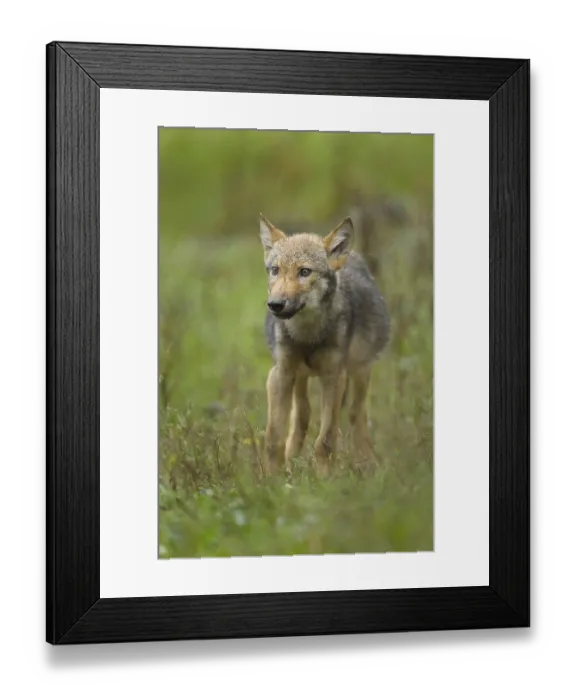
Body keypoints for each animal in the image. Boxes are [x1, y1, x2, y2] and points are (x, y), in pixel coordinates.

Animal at [259, 213, 391, 476]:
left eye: (304, 272)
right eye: (275, 270)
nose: (275, 304)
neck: (307, 335)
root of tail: (352, 256)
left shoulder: (333, 376)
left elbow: (326, 440)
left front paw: (324, 479)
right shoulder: (280, 374)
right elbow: (274, 437)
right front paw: (271, 478)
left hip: (359, 372)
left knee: (356, 415)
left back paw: (367, 464)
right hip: (300, 376)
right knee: (302, 417)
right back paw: (291, 462)